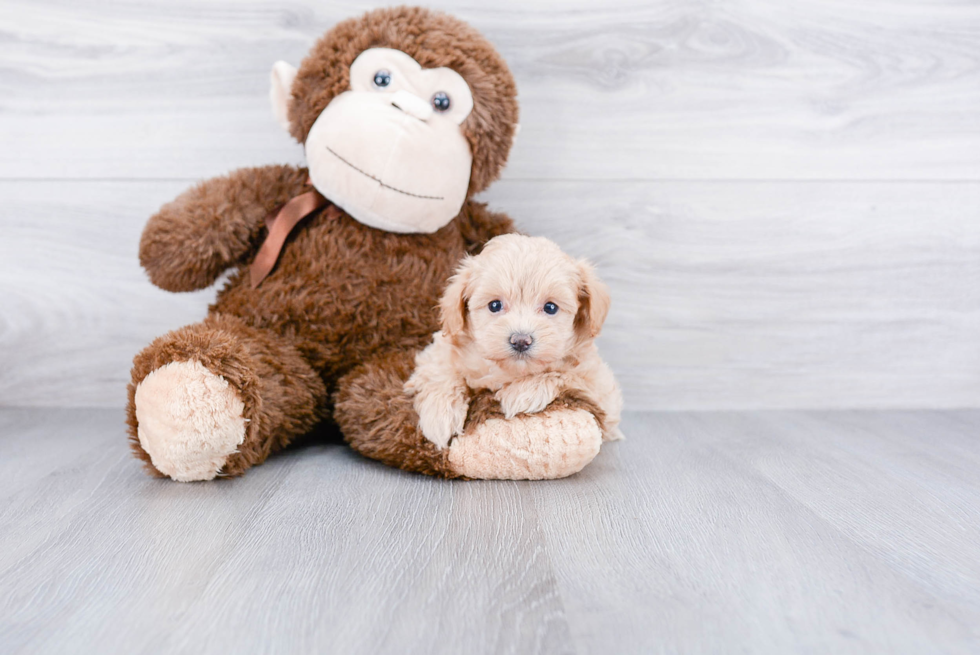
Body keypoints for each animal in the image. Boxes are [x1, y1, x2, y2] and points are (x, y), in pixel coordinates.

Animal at [404, 234, 620, 452]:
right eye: (495, 305)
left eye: (550, 307)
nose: (521, 341)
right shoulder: (437, 350)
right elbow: (441, 371)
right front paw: (439, 415)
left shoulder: (602, 391)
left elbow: (565, 374)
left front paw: (523, 392)